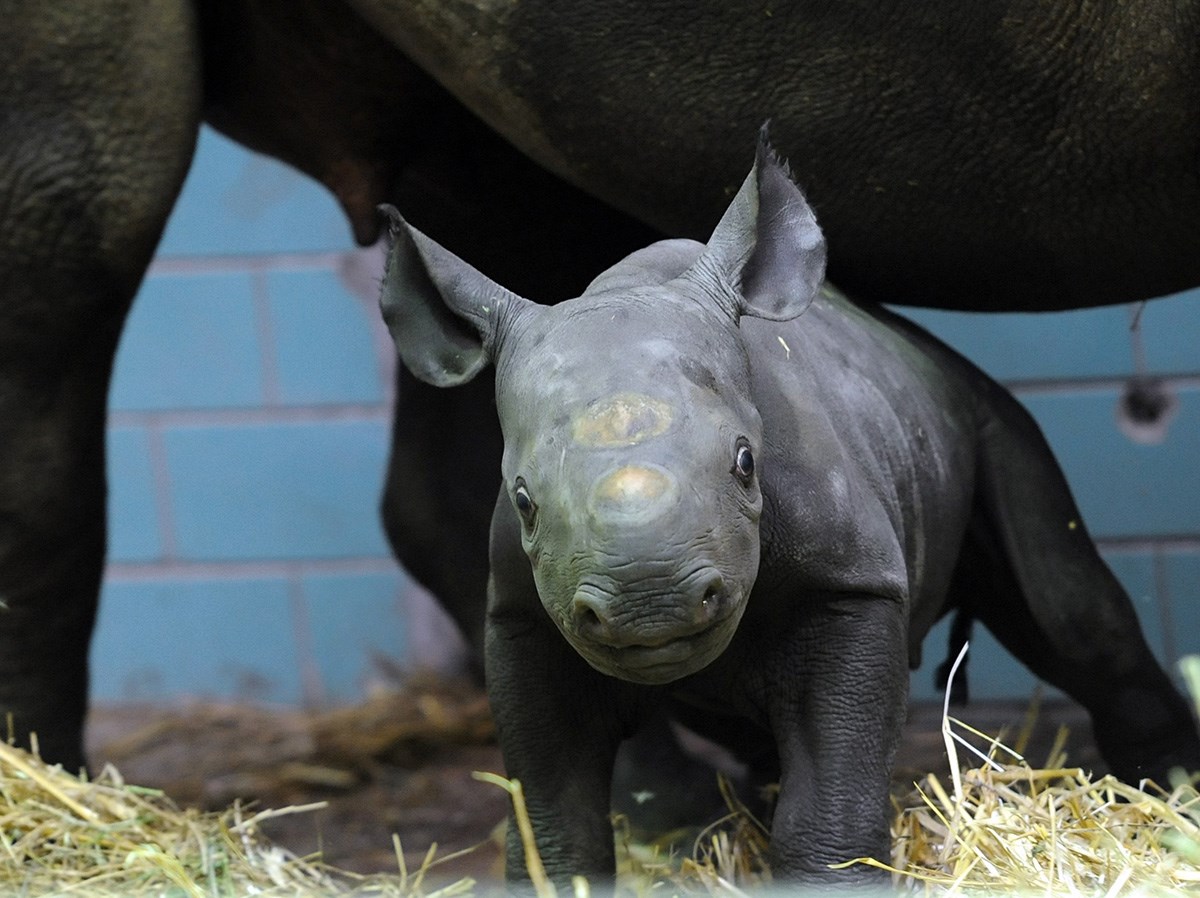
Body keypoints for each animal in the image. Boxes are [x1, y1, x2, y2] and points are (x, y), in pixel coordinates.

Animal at [376, 144, 1200, 888]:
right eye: (523, 500)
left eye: (747, 464)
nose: (653, 603)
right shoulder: (521, 617)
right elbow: (551, 806)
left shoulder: (851, 582)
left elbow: (834, 772)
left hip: (983, 410)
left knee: (1069, 617)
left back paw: (1169, 798)